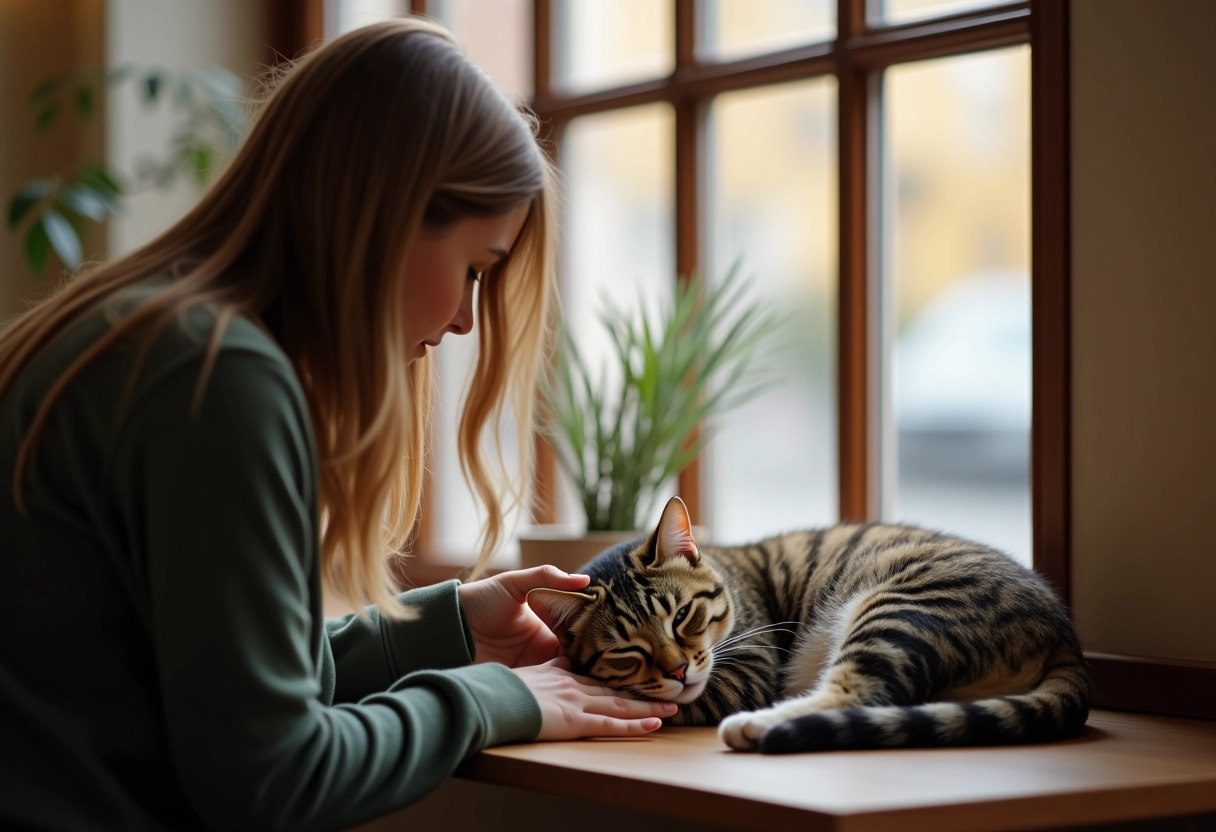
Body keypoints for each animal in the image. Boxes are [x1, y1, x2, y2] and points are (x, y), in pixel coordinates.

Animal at [527, 501, 1089, 754]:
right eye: (627, 651)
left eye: (682, 615)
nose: (679, 670)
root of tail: (1063, 630)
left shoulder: (750, 665)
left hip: (898, 609)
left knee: (862, 692)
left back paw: (760, 726)